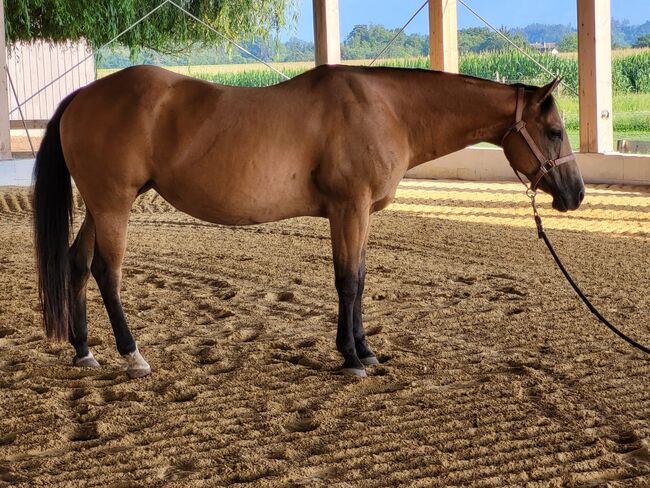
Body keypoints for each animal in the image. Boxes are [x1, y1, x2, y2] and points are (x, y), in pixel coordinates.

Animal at [33, 63, 584, 378]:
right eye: (555, 131)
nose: (576, 194)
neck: (386, 109)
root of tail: (81, 95)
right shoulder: (348, 208)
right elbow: (348, 282)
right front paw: (352, 359)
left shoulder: (358, 214)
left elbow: (360, 279)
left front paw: (365, 351)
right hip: (113, 204)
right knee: (106, 272)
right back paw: (132, 357)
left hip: (100, 205)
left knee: (77, 264)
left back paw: (84, 352)